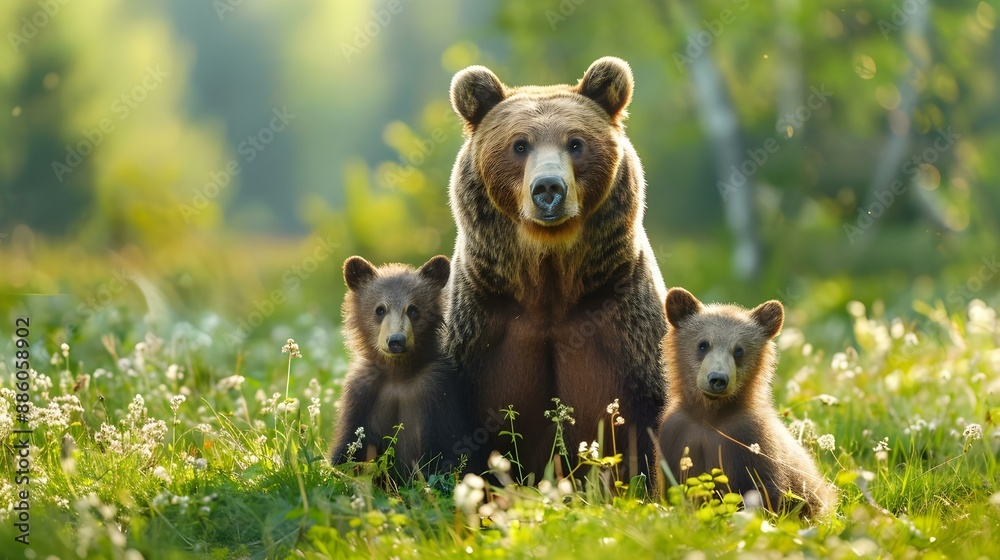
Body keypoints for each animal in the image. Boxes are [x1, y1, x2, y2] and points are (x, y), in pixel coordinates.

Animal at [330, 255, 471, 481]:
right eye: (380, 309)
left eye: (413, 309)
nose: (396, 340)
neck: (398, 373)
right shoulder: (361, 395)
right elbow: (349, 449)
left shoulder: (437, 391)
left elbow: (450, 452)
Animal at [446, 56, 668, 484]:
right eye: (519, 144)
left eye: (575, 143)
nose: (549, 188)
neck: (549, 282)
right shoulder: (480, 325)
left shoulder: (624, 322)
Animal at [657, 287, 837, 517]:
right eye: (703, 344)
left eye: (739, 350)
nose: (717, 379)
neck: (710, 415)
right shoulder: (677, 436)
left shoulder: (750, 439)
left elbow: (764, 490)